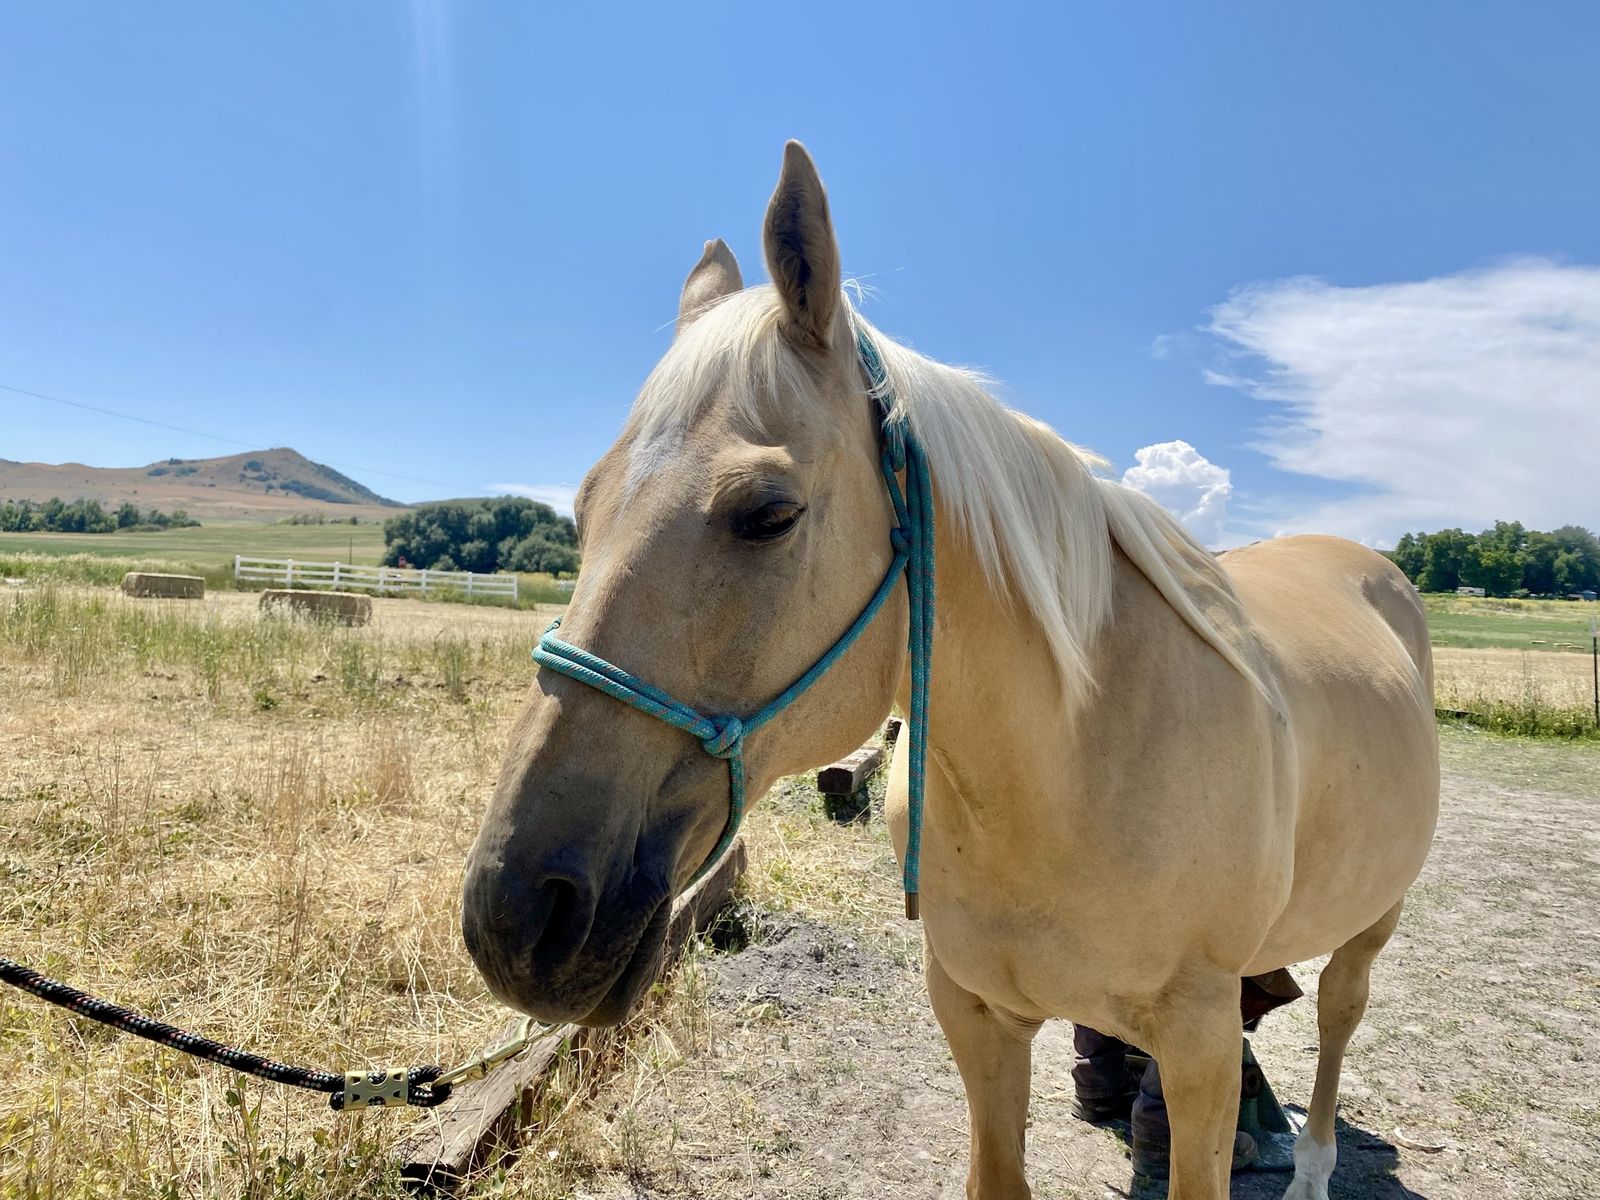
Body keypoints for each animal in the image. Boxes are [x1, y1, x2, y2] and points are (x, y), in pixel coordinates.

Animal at [461, 142, 1439, 1200]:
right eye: (583, 510)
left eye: (768, 513)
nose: (517, 917)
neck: (1069, 770)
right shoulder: (973, 1010)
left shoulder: (1203, 1041)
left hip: (1373, 919)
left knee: (1340, 1011)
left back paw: (1311, 1165)